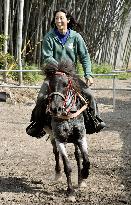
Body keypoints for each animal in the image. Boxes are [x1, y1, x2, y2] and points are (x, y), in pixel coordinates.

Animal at [42, 61, 90, 201]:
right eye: (50, 84)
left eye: (65, 84)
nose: (55, 108)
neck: (68, 115)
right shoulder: (60, 140)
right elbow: (67, 166)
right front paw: (70, 192)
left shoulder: (80, 137)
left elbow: (86, 159)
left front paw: (84, 175)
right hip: (53, 138)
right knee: (56, 153)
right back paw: (57, 174)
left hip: (74, 140)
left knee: (77, 156)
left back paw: (81, 180)